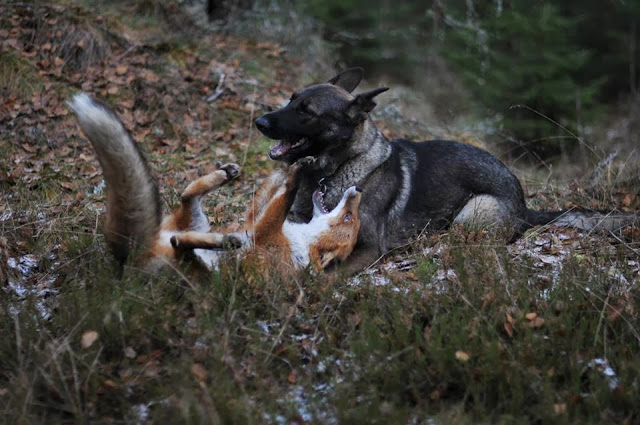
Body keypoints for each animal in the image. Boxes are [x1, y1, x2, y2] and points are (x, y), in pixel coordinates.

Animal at [69, 91, 364, 274]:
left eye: (350, 219)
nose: (357, 191)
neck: (302, 240)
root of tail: (128, 261)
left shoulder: (265, 232)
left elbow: (286, 195)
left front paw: (297, 170)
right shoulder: (254, 219)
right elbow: (272, 189)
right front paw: (295, 164)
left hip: (191, 263)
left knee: (181, 242)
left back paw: (225, 242)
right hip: (196, 220)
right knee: (187, 198)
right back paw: (225, 175)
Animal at [256, 66, 640, 272]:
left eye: (306, 111)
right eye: (291, 98)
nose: (259, 122)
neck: (336, 169)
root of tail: (524, 206)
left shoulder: (367, 248)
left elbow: (326, 274)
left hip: (472, 212)